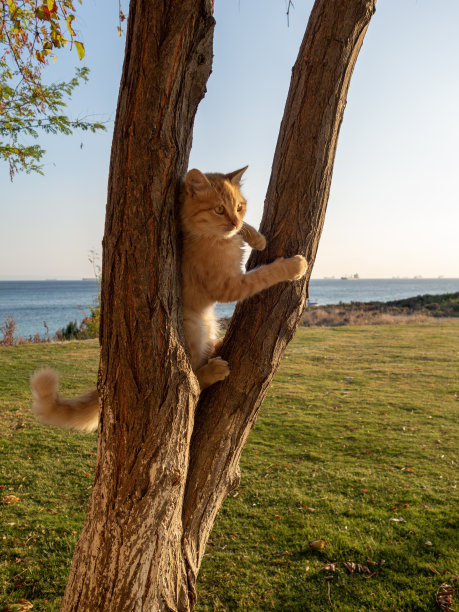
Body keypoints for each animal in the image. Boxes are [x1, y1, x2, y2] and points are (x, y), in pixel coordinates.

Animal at [30, 167, 308, 430]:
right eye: (219, 209)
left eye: (239, 207)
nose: (234, 222)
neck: (203, 236)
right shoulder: (229, 287)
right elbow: (263, 275)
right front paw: (294, 266)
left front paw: (256, 237)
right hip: (194, 327)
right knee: (193, 380)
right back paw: (212, 369)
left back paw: (217, 347)